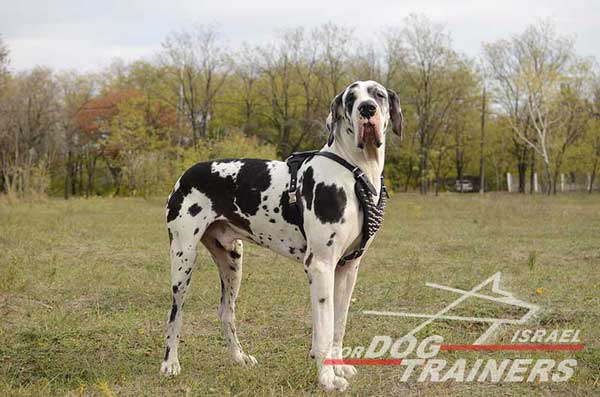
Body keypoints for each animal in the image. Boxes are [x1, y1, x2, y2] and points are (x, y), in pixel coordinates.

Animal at [161, 79, 404, 390]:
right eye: (351, 98)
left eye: (378, 94)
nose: (367, 109)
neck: (353, 172)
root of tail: (186, 174)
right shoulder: (320, 266)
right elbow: (324, 328)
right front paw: (327, 378)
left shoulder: (348, 268)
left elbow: (339, 324)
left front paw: (338, 366)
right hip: (183, 258)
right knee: (175, 314)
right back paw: (170, 363)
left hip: (232, 261)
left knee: (226, 311)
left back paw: (239, 357)